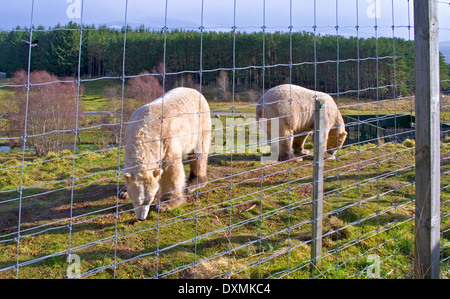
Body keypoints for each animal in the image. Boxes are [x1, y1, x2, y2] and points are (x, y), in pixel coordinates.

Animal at [122, 86, 212, 220]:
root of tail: (195, 90)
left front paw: (166, 205)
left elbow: (171, 170)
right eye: (136, 201)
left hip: (199, 124)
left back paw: (194, 183)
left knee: (198, 153)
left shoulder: (167, 141)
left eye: (150, 200)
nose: (141, 218)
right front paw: (123, 191)